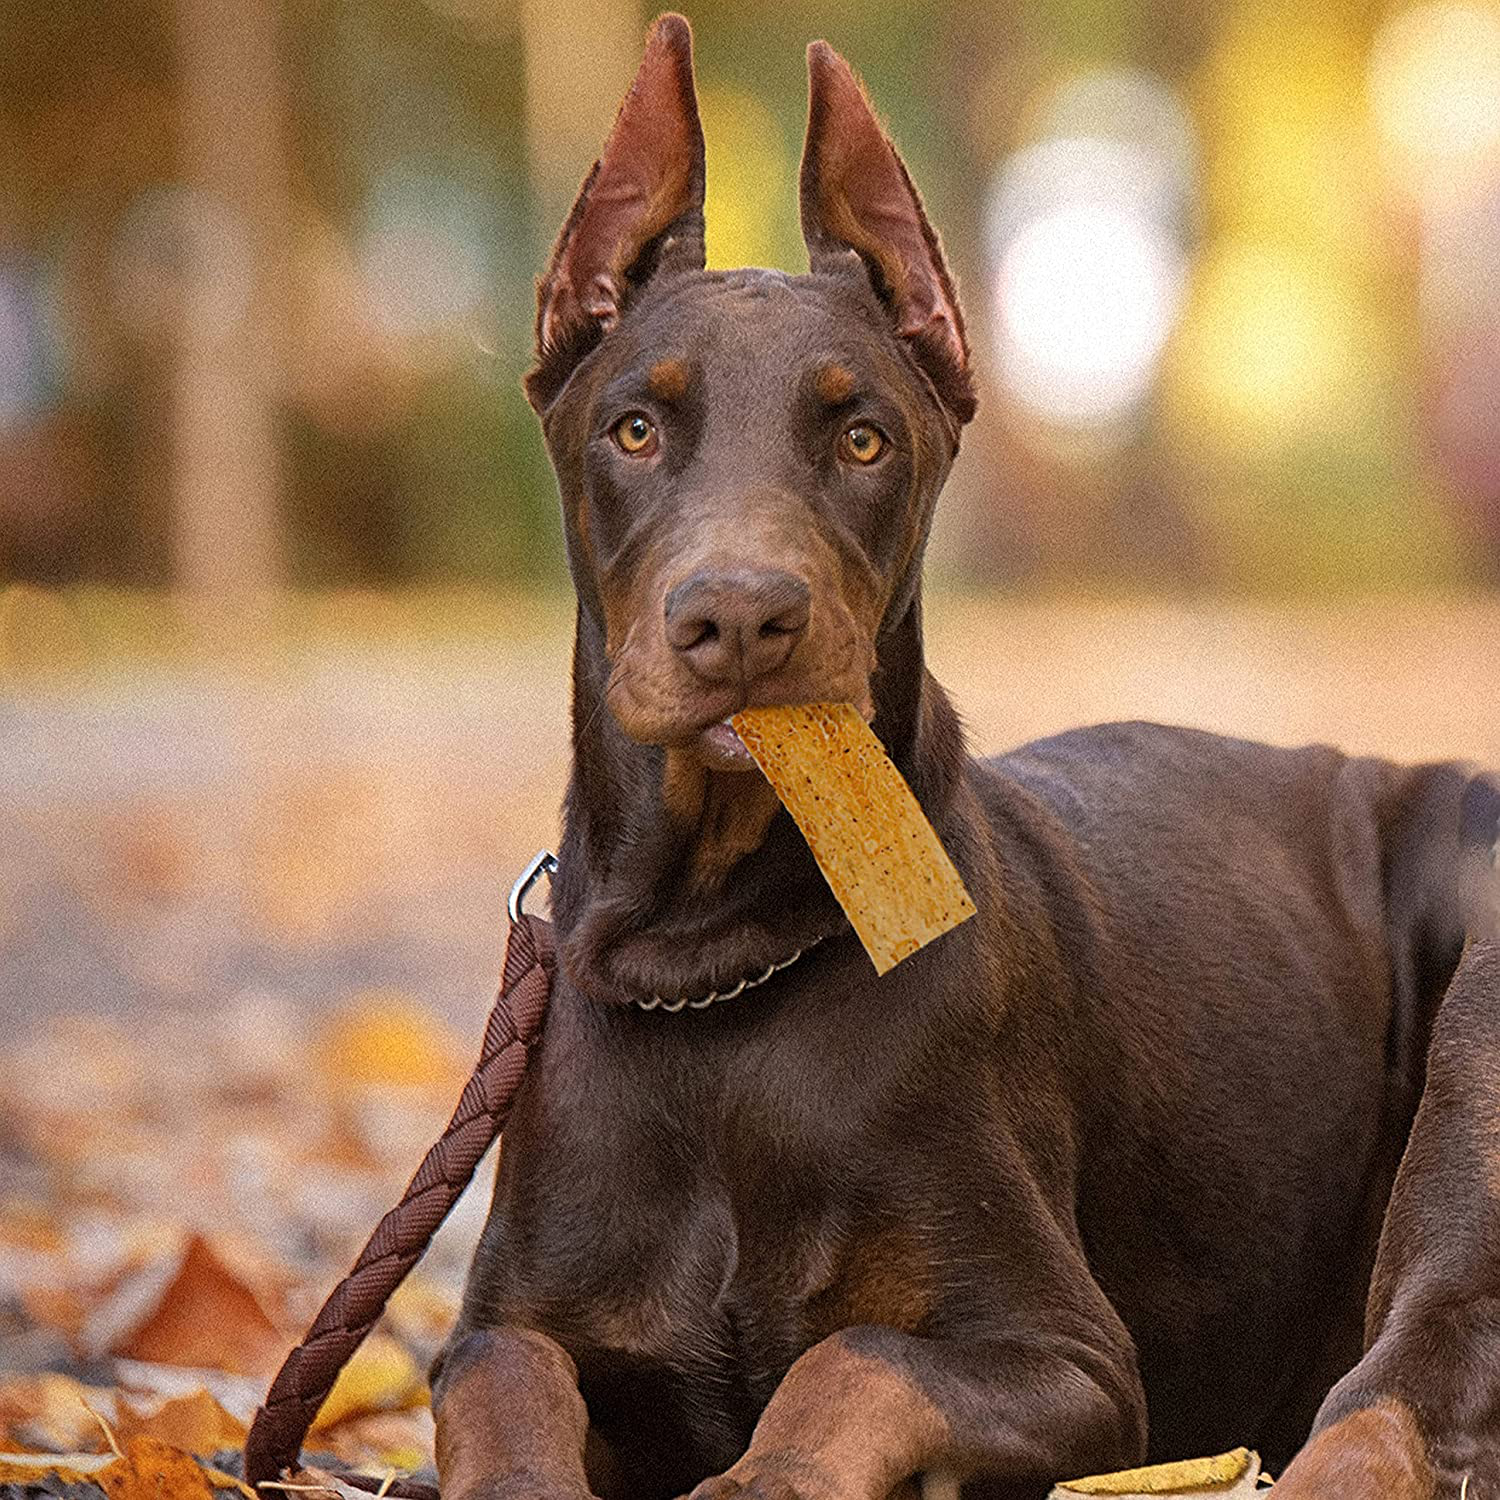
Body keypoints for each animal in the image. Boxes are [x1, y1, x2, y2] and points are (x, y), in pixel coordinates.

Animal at [429, 14, 1494, 1500]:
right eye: (633, 428)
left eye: (863, 435)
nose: (741, 618)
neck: (717, 974)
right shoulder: (519, 1315)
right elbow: (500, 1381)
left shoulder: (1069, 1362)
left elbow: (853, 1360)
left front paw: (764, 1472)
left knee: (1410, 1378)